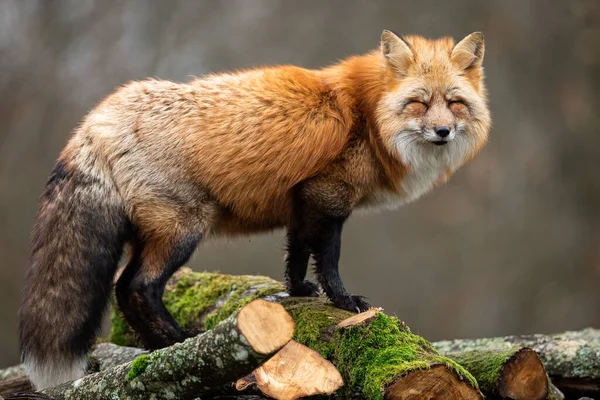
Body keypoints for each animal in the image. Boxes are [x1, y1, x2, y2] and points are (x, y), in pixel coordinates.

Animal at [18, 30, 490, 388]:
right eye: (419, 103)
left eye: (454, 103)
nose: (443, 131)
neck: (368, 116)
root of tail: (96, 120)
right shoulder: (330, 194)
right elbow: (329, 259)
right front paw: (344, 301)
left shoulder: (303, 200)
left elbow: (297, 254)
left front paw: (298, 291)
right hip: (184, 230)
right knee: (138, 287)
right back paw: (179, 343)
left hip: (154, 233)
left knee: (122, 290)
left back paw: (157, 348)